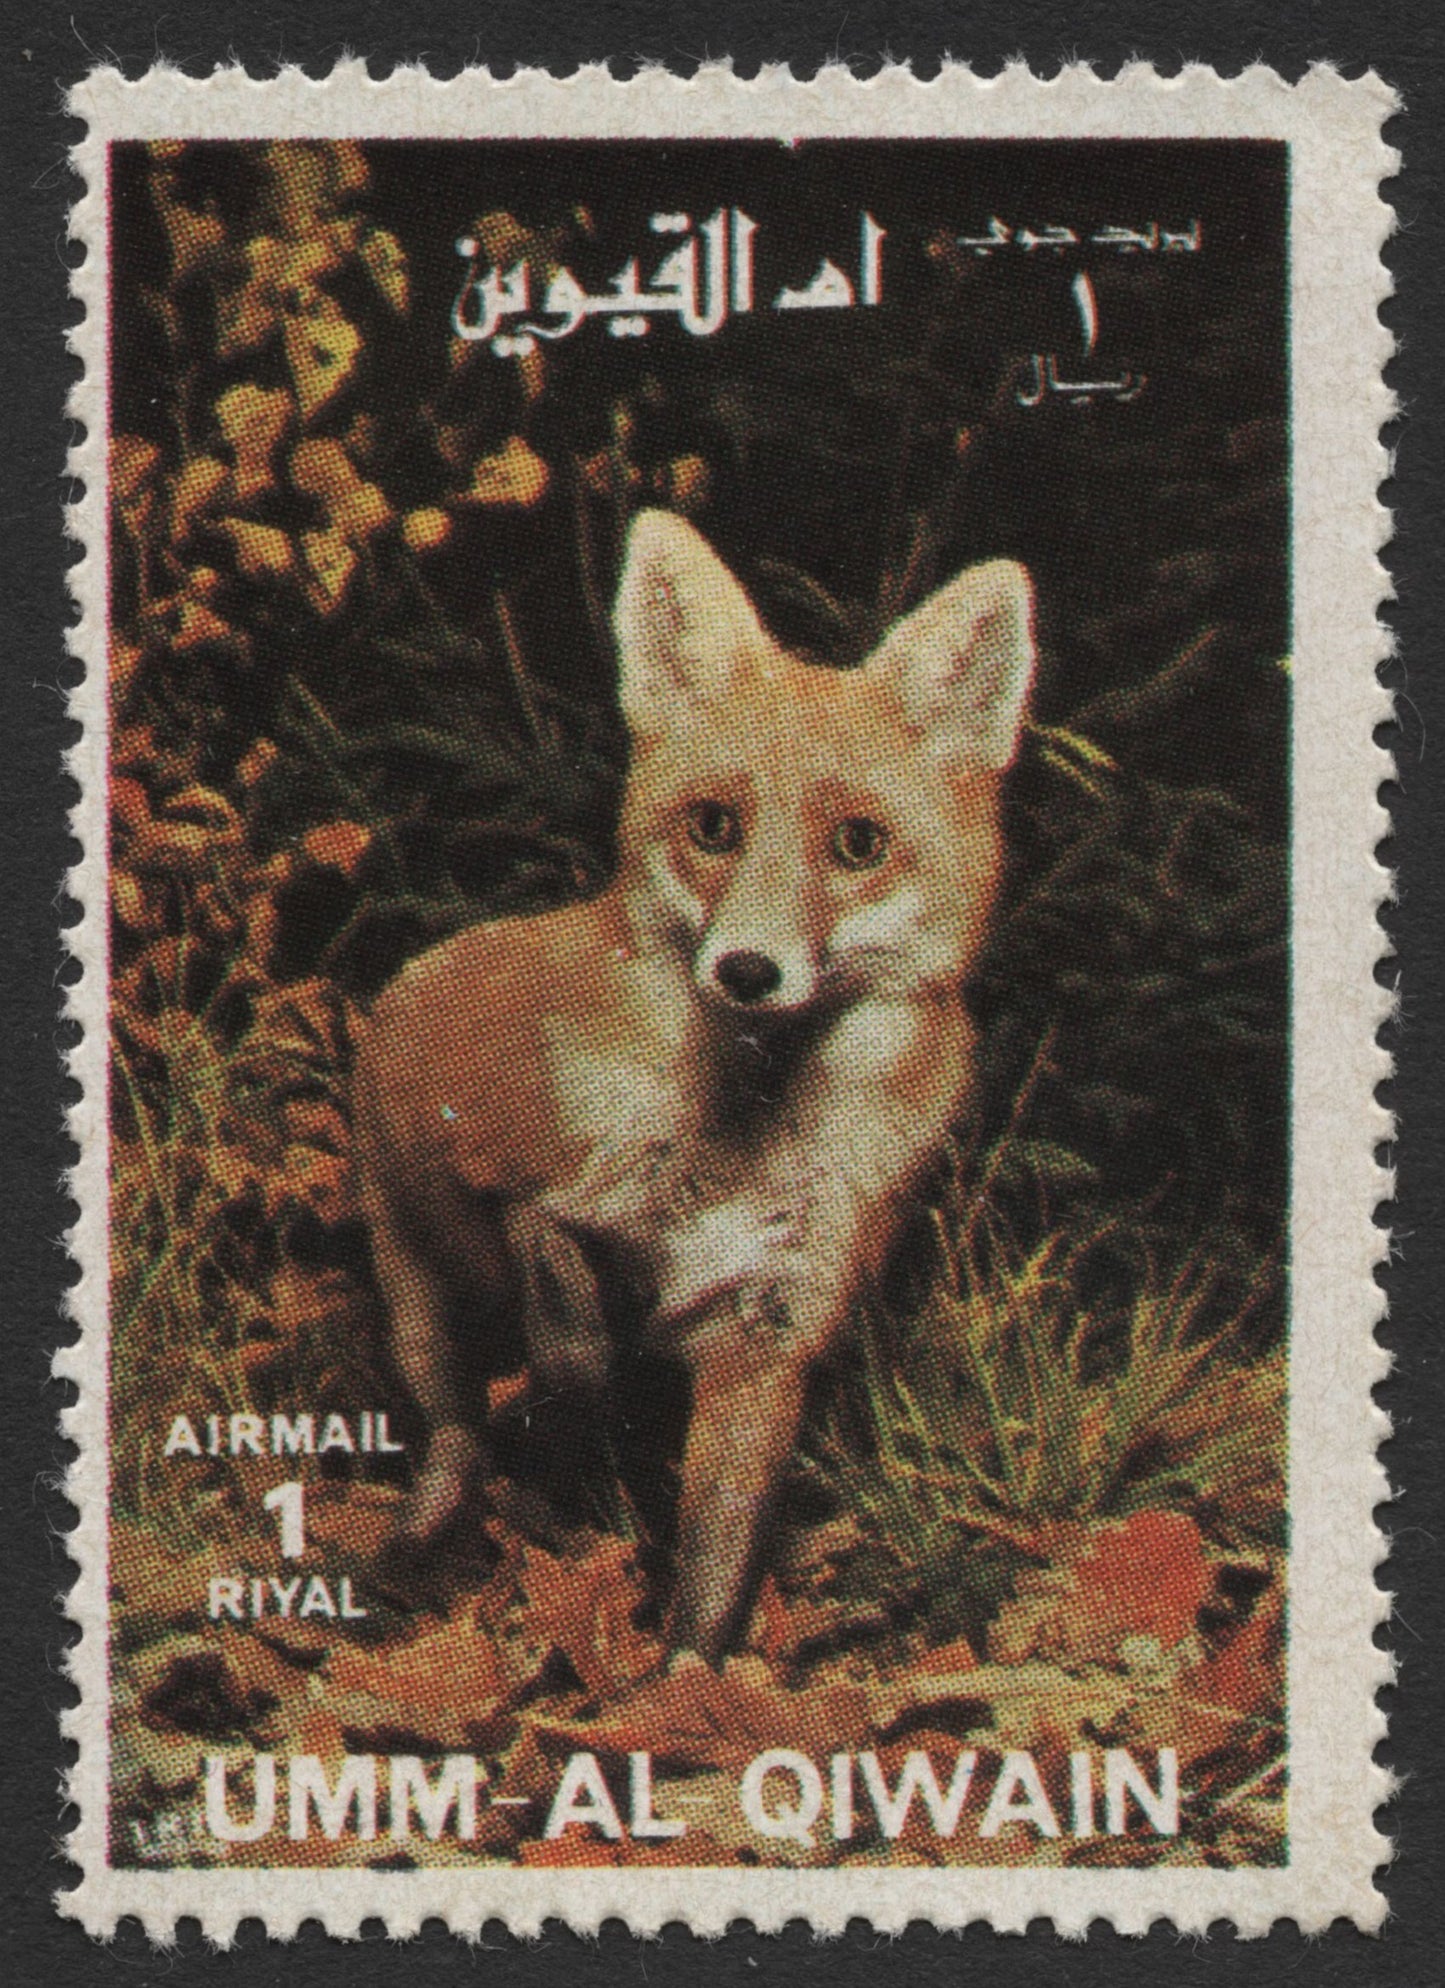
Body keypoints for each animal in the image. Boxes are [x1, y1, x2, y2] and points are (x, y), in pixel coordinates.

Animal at [352, 509, 1035, 1662]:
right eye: (712, 825)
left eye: (858, 844)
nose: (748, 971)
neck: (740, 1138)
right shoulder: (495, 1170)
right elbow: (563, 1301)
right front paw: (577, 1394)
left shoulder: (771, 1331)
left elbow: (715, 1564)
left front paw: (686, 1684)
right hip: (415, 1299)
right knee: (453, 1432)